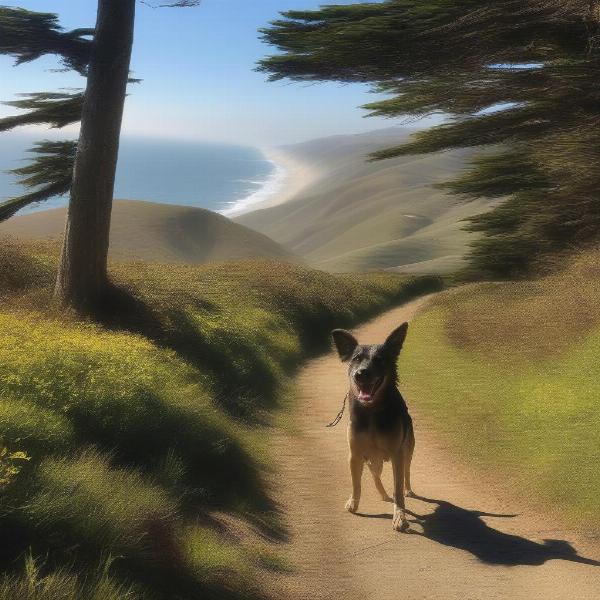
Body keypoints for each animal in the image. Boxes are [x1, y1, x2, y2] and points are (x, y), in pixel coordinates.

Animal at [330, 326, 414, 532]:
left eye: (379, 360)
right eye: (356, 358)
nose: (361, 374)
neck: (372, 411)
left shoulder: (397, 455)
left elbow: (398, 486)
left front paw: (400, 516)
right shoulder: (355, 454)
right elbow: (356, 483)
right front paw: (353, 503)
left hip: (408, 450)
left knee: (406, 473)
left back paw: (407, 490)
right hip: (373, 460)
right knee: (376, 476)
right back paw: (383, 495)